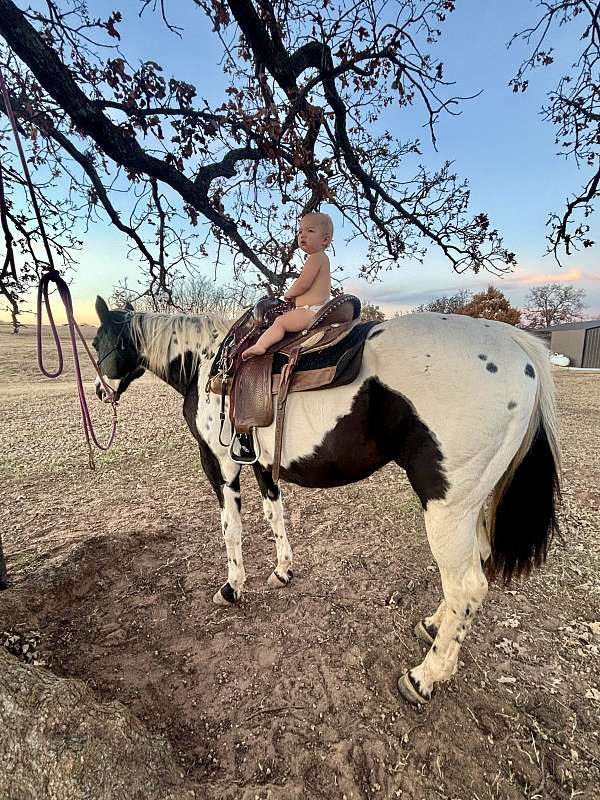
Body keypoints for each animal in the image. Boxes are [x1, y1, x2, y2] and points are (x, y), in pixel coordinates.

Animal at [92, 295, 561, 705]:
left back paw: (425, 676)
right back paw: (433, 626)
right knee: (474, 564)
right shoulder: (261, 463)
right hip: (470, 506)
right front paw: (282, 571)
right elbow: (274, 515)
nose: (98, 393)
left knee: (467, 585)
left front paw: (232, 587)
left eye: (97, 342)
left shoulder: (220, 464)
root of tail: (517, 346)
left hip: (446, 508)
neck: (208, 364)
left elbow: (231, 530)